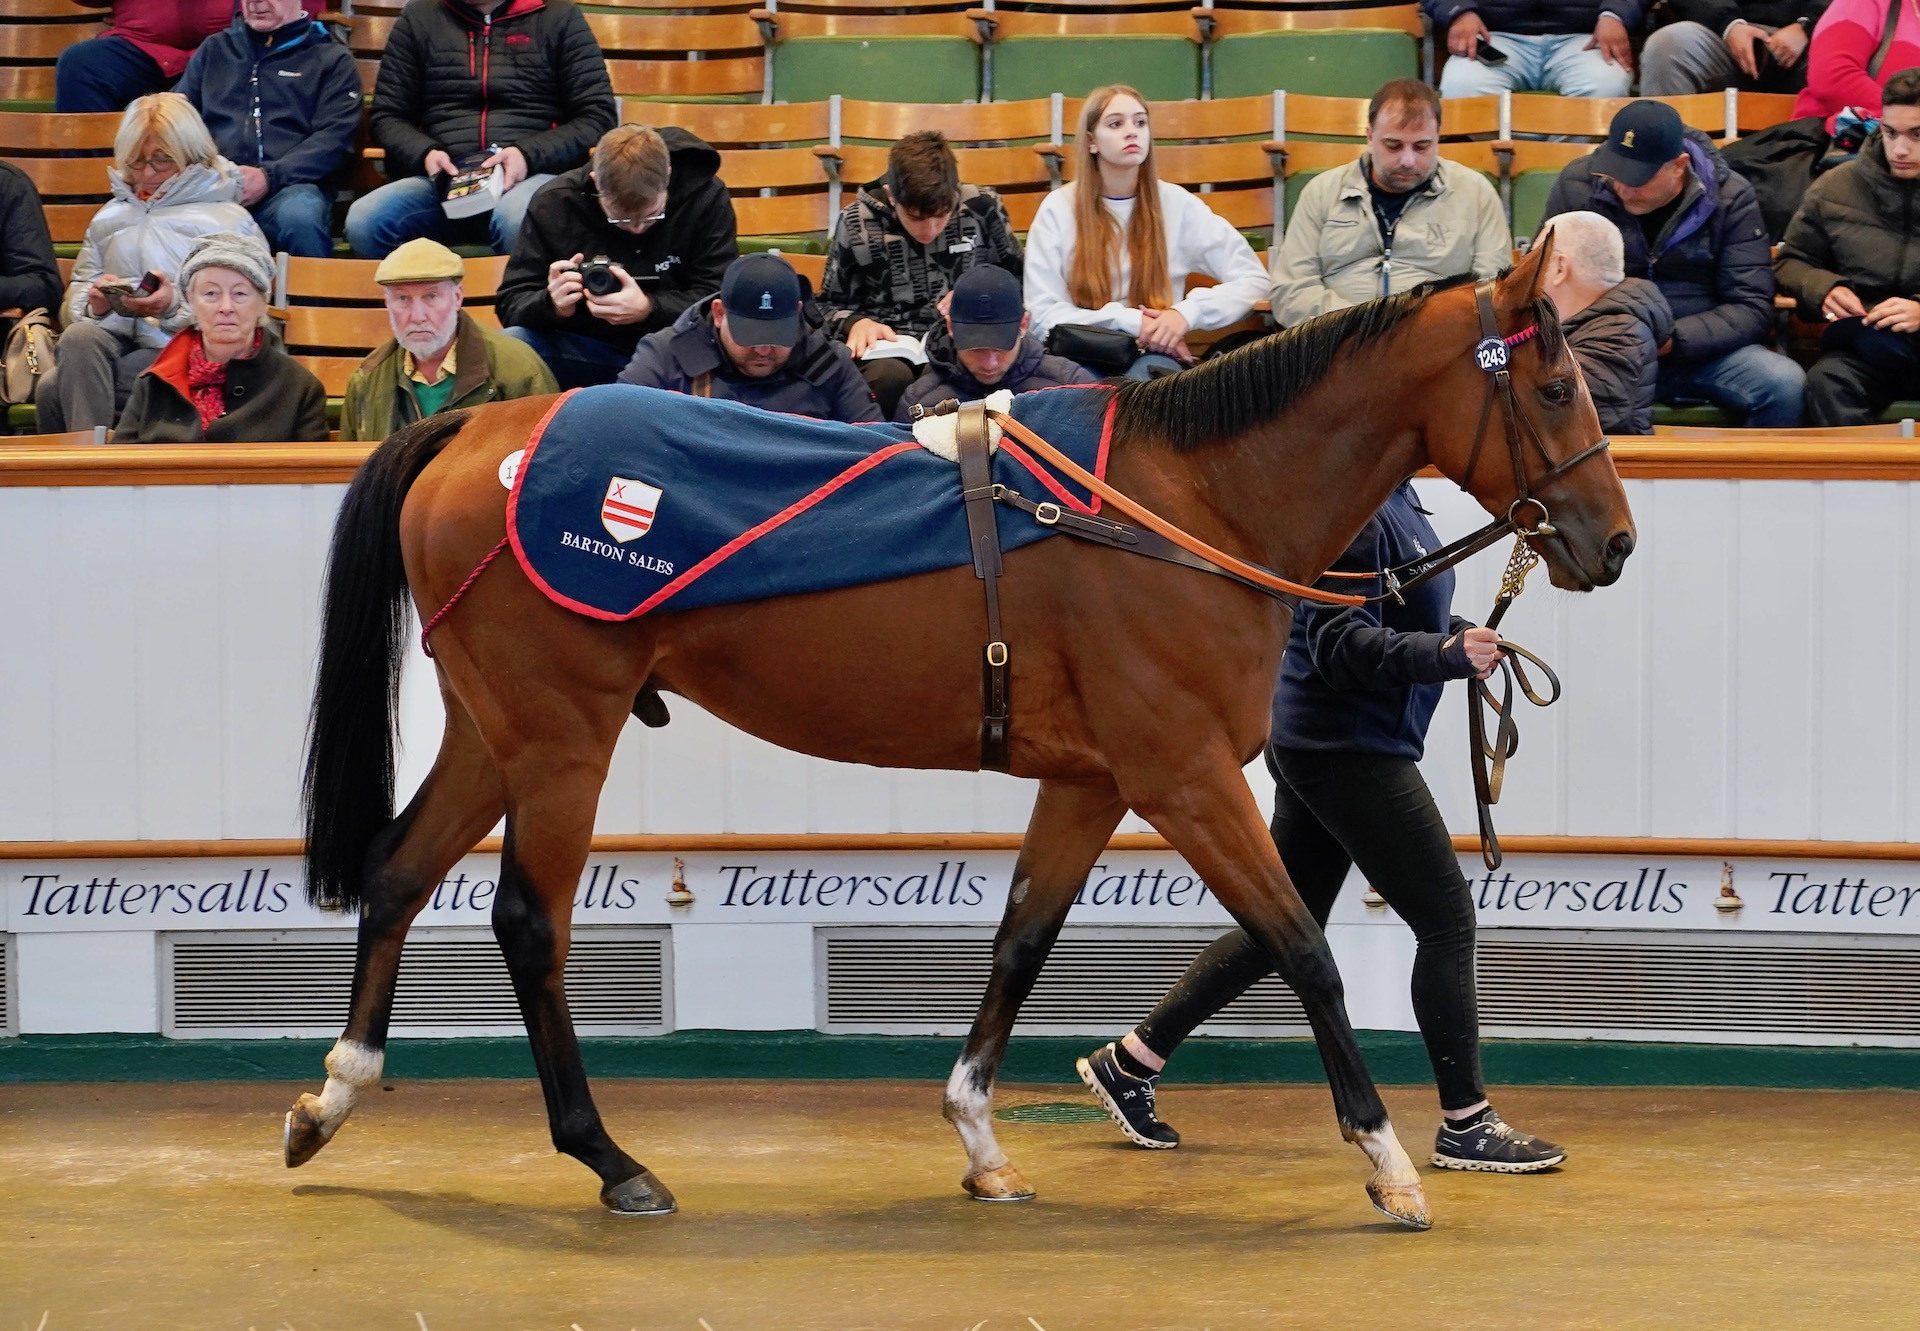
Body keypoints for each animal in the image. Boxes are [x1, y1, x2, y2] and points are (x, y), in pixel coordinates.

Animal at [284, 239, 1635, 1221]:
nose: (1610, 539)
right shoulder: (1185, 772)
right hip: (563, 737)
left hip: (493, 731)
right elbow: (1300, 946)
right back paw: (609, 1156)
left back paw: (332, 1096)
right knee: (529, 923)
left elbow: (1021, 940)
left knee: (400, 869)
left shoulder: (1093, 780)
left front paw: (982, 1135)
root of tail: (476, 432)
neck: (1177, 506)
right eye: (1556, 383)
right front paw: (1387, 1159)